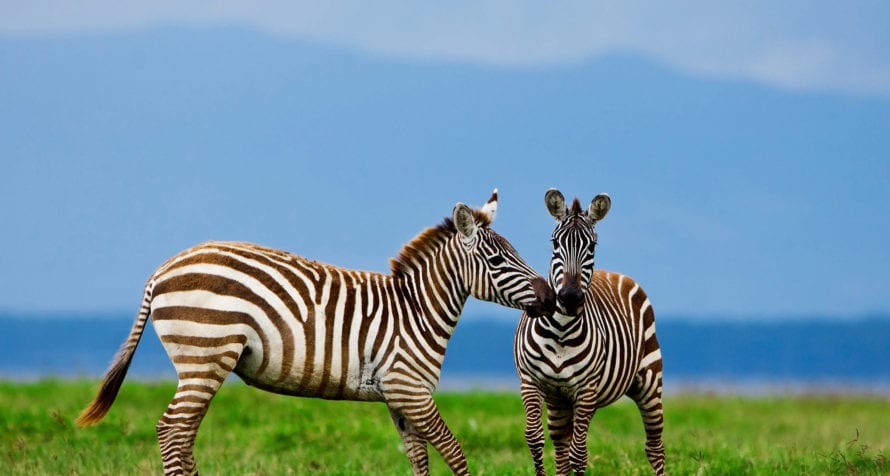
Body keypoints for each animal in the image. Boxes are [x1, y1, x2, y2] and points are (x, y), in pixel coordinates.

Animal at [77, 190, 556, 476]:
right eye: (497, 261)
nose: (552, 297)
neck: (417, 310)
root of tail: (162, 269)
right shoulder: (410, 388)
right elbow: (455, 453)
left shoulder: (400, 396)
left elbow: (420, 460)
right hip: (205, 355)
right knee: (172, 430)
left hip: (200, 361)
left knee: (178, 433)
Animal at [514, 189, 665, 475]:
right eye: (554, 243)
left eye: (592, 246)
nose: (570, 297)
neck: (561, 331)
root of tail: (615, 273)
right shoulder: (530, 381)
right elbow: (534, 439)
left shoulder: (585, 389)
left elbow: (579, 454)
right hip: (561, 400)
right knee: (561, 445)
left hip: (648, 381)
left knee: (655, 448)